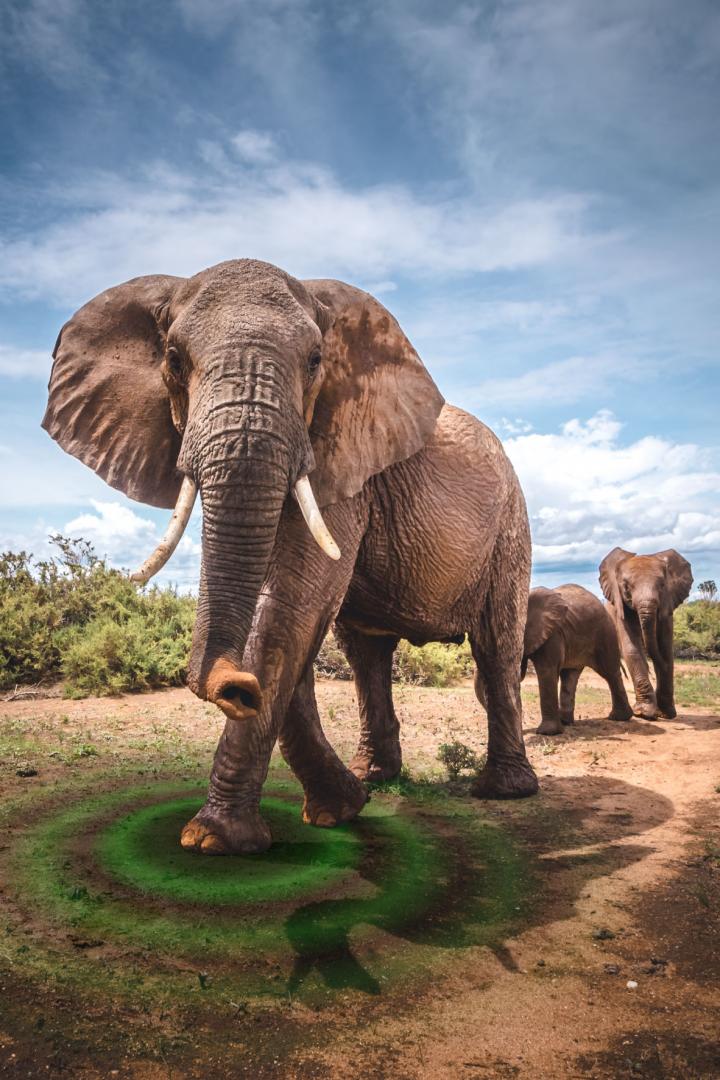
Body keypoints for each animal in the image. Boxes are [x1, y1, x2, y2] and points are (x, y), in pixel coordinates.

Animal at [43, 258, 538, 855]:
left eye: (315, 360)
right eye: (174, 359)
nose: (236, 688)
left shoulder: (343, 463)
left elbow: (294, 607)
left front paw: (213, 841)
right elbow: (293, 621)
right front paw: (341, 809)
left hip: (510, 528)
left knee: (496, 643)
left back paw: (504, 791)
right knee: (365, 652)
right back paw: (375, 777)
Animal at [522, 584, 633, 735]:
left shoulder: (553, 633)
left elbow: (546, 670)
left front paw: (547, 733)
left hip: (605, 633)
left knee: (610, 673)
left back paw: (619, 718)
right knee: (570, 677)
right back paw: (565, 722)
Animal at [599, 547, 693, 720]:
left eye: (662, 585)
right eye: (626, 587)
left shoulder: (667, 608)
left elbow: (665, 650)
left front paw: (666, 714)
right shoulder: (620, 610)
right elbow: (632, 649)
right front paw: (643, 713)